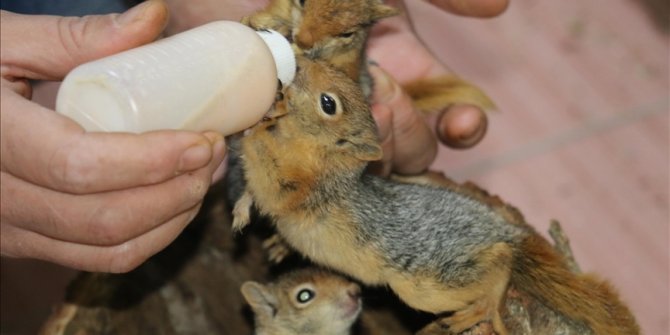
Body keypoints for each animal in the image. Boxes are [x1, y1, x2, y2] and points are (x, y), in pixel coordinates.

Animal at [234, 57, 644, 335]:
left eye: (328, 104)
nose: (300, 62)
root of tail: (504, 230)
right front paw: (262, 225)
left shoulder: (306, 190)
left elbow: (267, 176)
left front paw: (262, 119)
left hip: (430, 283)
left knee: (500, 262)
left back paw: (486, 303)